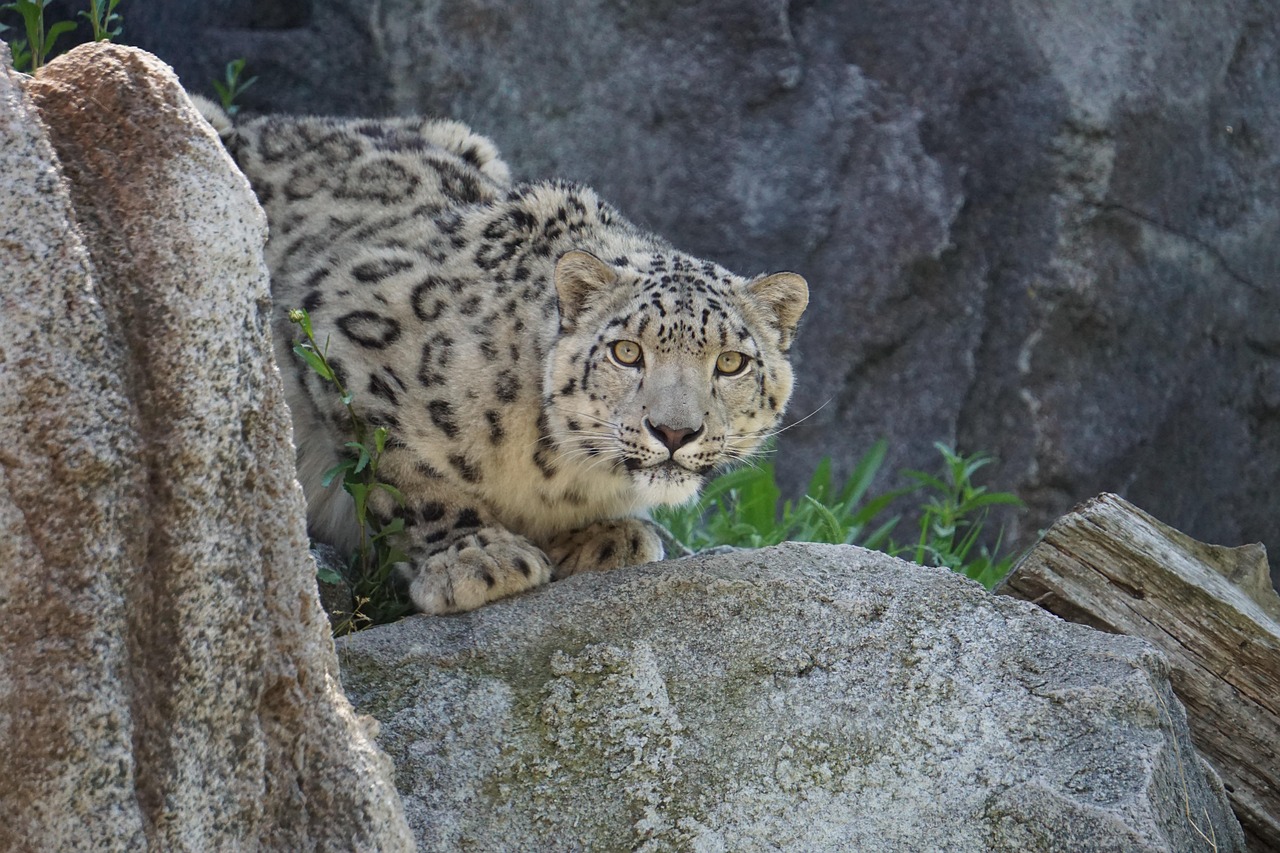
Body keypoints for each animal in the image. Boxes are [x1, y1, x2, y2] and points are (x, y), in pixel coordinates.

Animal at [203, 97, 808, 612]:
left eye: (729, 362)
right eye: (627, 352)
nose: (675, 431)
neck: (555, 467)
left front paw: (606, 535)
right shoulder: (338, 332)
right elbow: (402, 471)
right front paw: (477, 557)